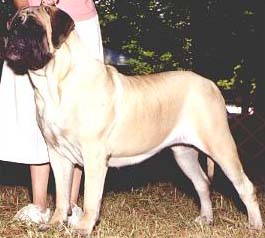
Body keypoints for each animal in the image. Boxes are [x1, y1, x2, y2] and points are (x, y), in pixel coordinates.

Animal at [4, 4, 262, 235]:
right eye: (14, 25)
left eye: (35, 28)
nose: (12, 36)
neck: (55, 81)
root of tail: (210, 84)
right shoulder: (58, 154)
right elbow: (61, 195)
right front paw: (56, 223)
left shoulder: (94, 155)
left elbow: (90, 198)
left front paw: (83, 227)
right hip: (184, 153)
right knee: (202, 184)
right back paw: (205, 220)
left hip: (220, 146)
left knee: (245, 187)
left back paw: (254, 226)